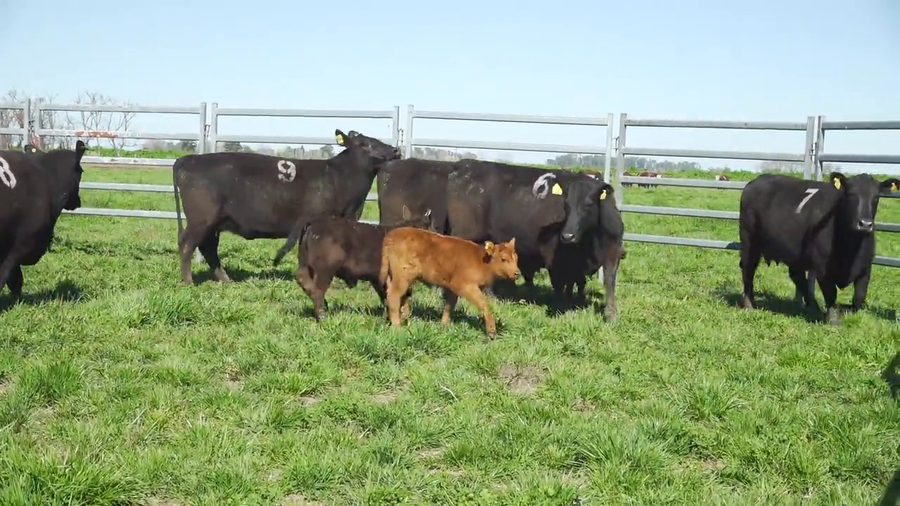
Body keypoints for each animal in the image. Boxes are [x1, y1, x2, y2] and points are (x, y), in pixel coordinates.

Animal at [173, 129, 401, 286]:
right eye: (365, 144)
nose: (395, 150)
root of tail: (190, 159)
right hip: (201, 219)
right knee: (187, 244)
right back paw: (188, 282)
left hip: (213, 223)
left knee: (208, 248)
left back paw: (225, 279)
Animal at [271, 205, 436, 321]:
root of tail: (315, 221)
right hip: (325, 268)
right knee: (318, 288)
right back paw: (322, 315)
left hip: (306, 263)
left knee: (302, 277)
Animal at [379, 227, 519, 337]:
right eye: (503, 259)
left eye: (516, 258)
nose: (517, 273)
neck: (481, 260)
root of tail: (392, 235)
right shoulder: (466, 286)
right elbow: (484, 304)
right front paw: (491, 332)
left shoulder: (452, 289)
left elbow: (449, 306)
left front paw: (444, 326)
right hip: (402, 278)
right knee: (394, 296)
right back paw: (397, 327)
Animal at [738, 171, 900, 324]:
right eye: (851, 194)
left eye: (876, 197)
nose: (865, 224)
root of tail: (756, 181)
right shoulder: (823, 268)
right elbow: (831, 293)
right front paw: (834, 320)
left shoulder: (865, 267)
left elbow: (859, 296)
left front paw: (848, 310)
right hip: (749, 242)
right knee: (748, 269)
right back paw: (748, 304)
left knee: (797, 277)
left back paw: (813, 308)